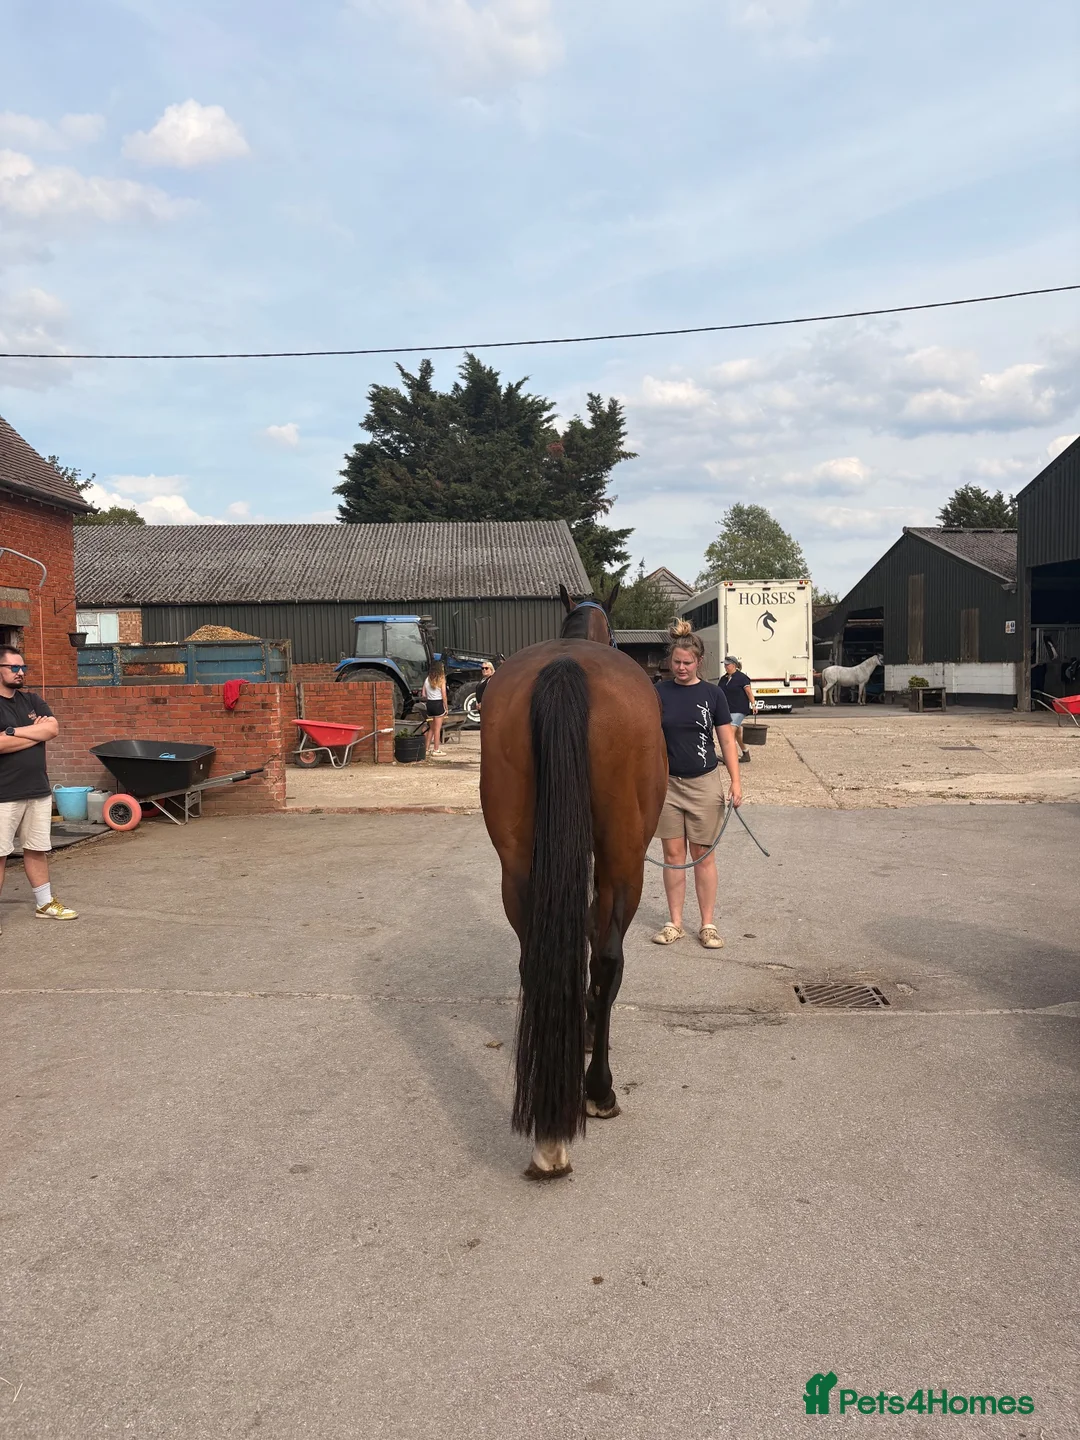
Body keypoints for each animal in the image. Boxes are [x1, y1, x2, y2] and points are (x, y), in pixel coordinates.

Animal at [479, 584, 669, 1180]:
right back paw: (597, 1093)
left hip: (516, 862)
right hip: (626, 858)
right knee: (608, 958)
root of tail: (565, 668)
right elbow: (596, 944)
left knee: (535, 955)